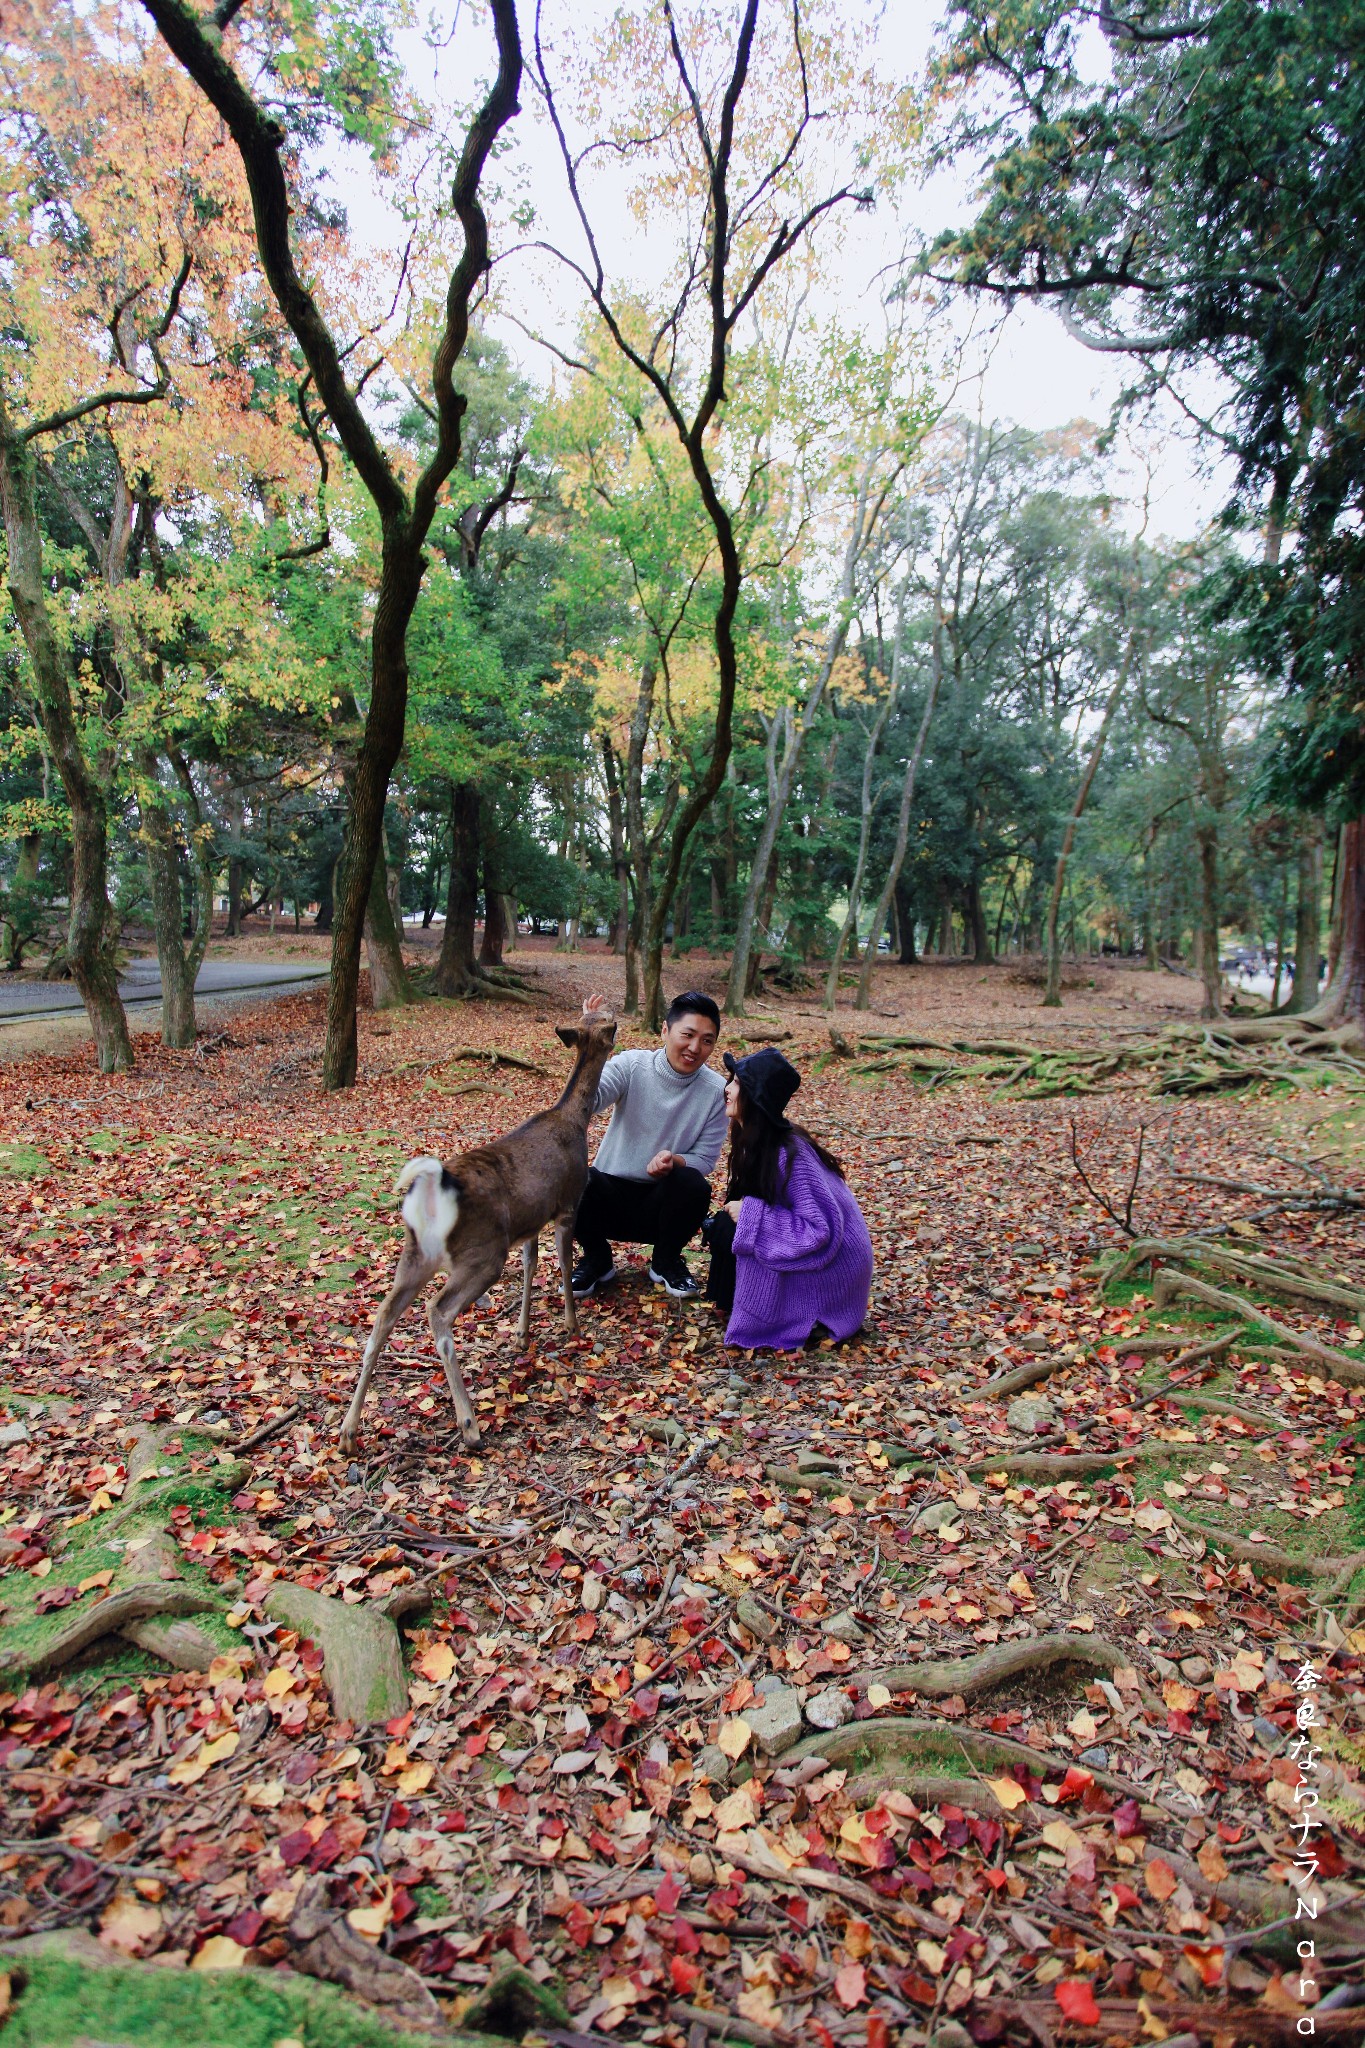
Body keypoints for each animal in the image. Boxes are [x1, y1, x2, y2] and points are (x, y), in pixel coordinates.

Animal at [341, 1007, 618, 1458]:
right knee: (438, 1311)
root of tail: (432, 1189)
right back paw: (469, 1425)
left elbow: (531, 1266)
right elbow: (562, 1263)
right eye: (607, 1022)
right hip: (483, 1253)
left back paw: (348, 1431)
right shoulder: (566, 1204)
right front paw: (571, 1326)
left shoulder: (528, 1223)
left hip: (415, 1255)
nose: (616, 1020)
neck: (574, 1120)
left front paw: (521, 1334)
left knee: (382, 1317)